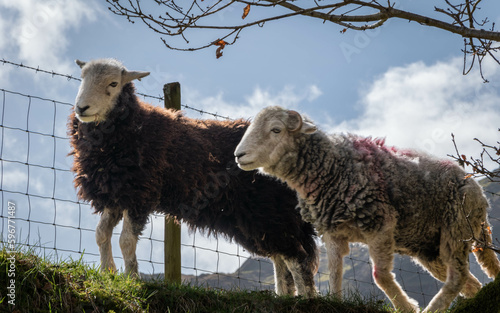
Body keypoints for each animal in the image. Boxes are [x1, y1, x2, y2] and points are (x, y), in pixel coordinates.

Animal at [68, 59, 318, 296]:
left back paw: (304, 298)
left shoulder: (139, 194)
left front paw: (131, 279)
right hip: (260, 218)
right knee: (280, 257)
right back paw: (284, 296)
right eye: (82, 78)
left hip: (270, 210)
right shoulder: (115, 192)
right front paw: (107, 274)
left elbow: (126, 241)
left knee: (296, 257)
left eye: (113, 83)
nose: (81, 108)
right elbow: (101, 234)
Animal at [234, 106, 500, 310]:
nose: (238, 155)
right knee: (467, 281)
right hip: (429, 246)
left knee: (457, 277)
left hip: (457, 225)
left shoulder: (380, 225)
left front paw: (406, 307)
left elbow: (379, 276)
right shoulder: (333, 233)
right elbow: (335, 273)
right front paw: (335, 302)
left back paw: (432, 309)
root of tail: (476, 188)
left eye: (276, 129)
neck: (331, 168)